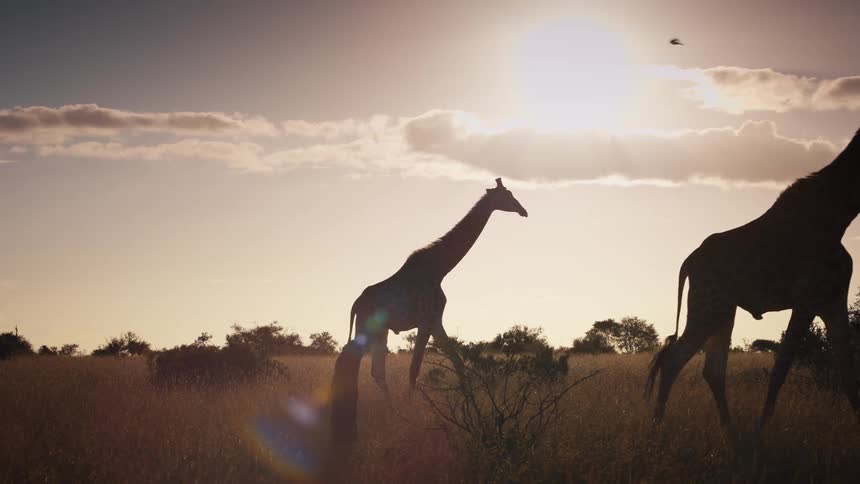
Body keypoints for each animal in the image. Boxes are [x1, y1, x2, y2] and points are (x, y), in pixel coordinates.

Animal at [331, 178, 527, 441]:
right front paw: (412, 412)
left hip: (380, 331)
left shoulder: (436, 322)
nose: (523, 211)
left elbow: (458, 363)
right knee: (354, 363)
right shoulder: (427, 320)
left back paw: (382, 411)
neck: (440, 269)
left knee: (373, 370)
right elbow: (414, 368)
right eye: (508, 195)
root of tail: (355, 303)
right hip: (368, 328)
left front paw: (471, 408)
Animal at [645, 128, 860, 430]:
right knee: (675, 359)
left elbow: (848, 373)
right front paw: (760, 432)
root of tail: (689, 261)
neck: (839, 216)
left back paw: (730, 432)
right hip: (708, 306)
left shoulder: (833, 300)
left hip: (724, 310)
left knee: (712, 369)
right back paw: (658, 428)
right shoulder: (807, 301)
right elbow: (781, 369)